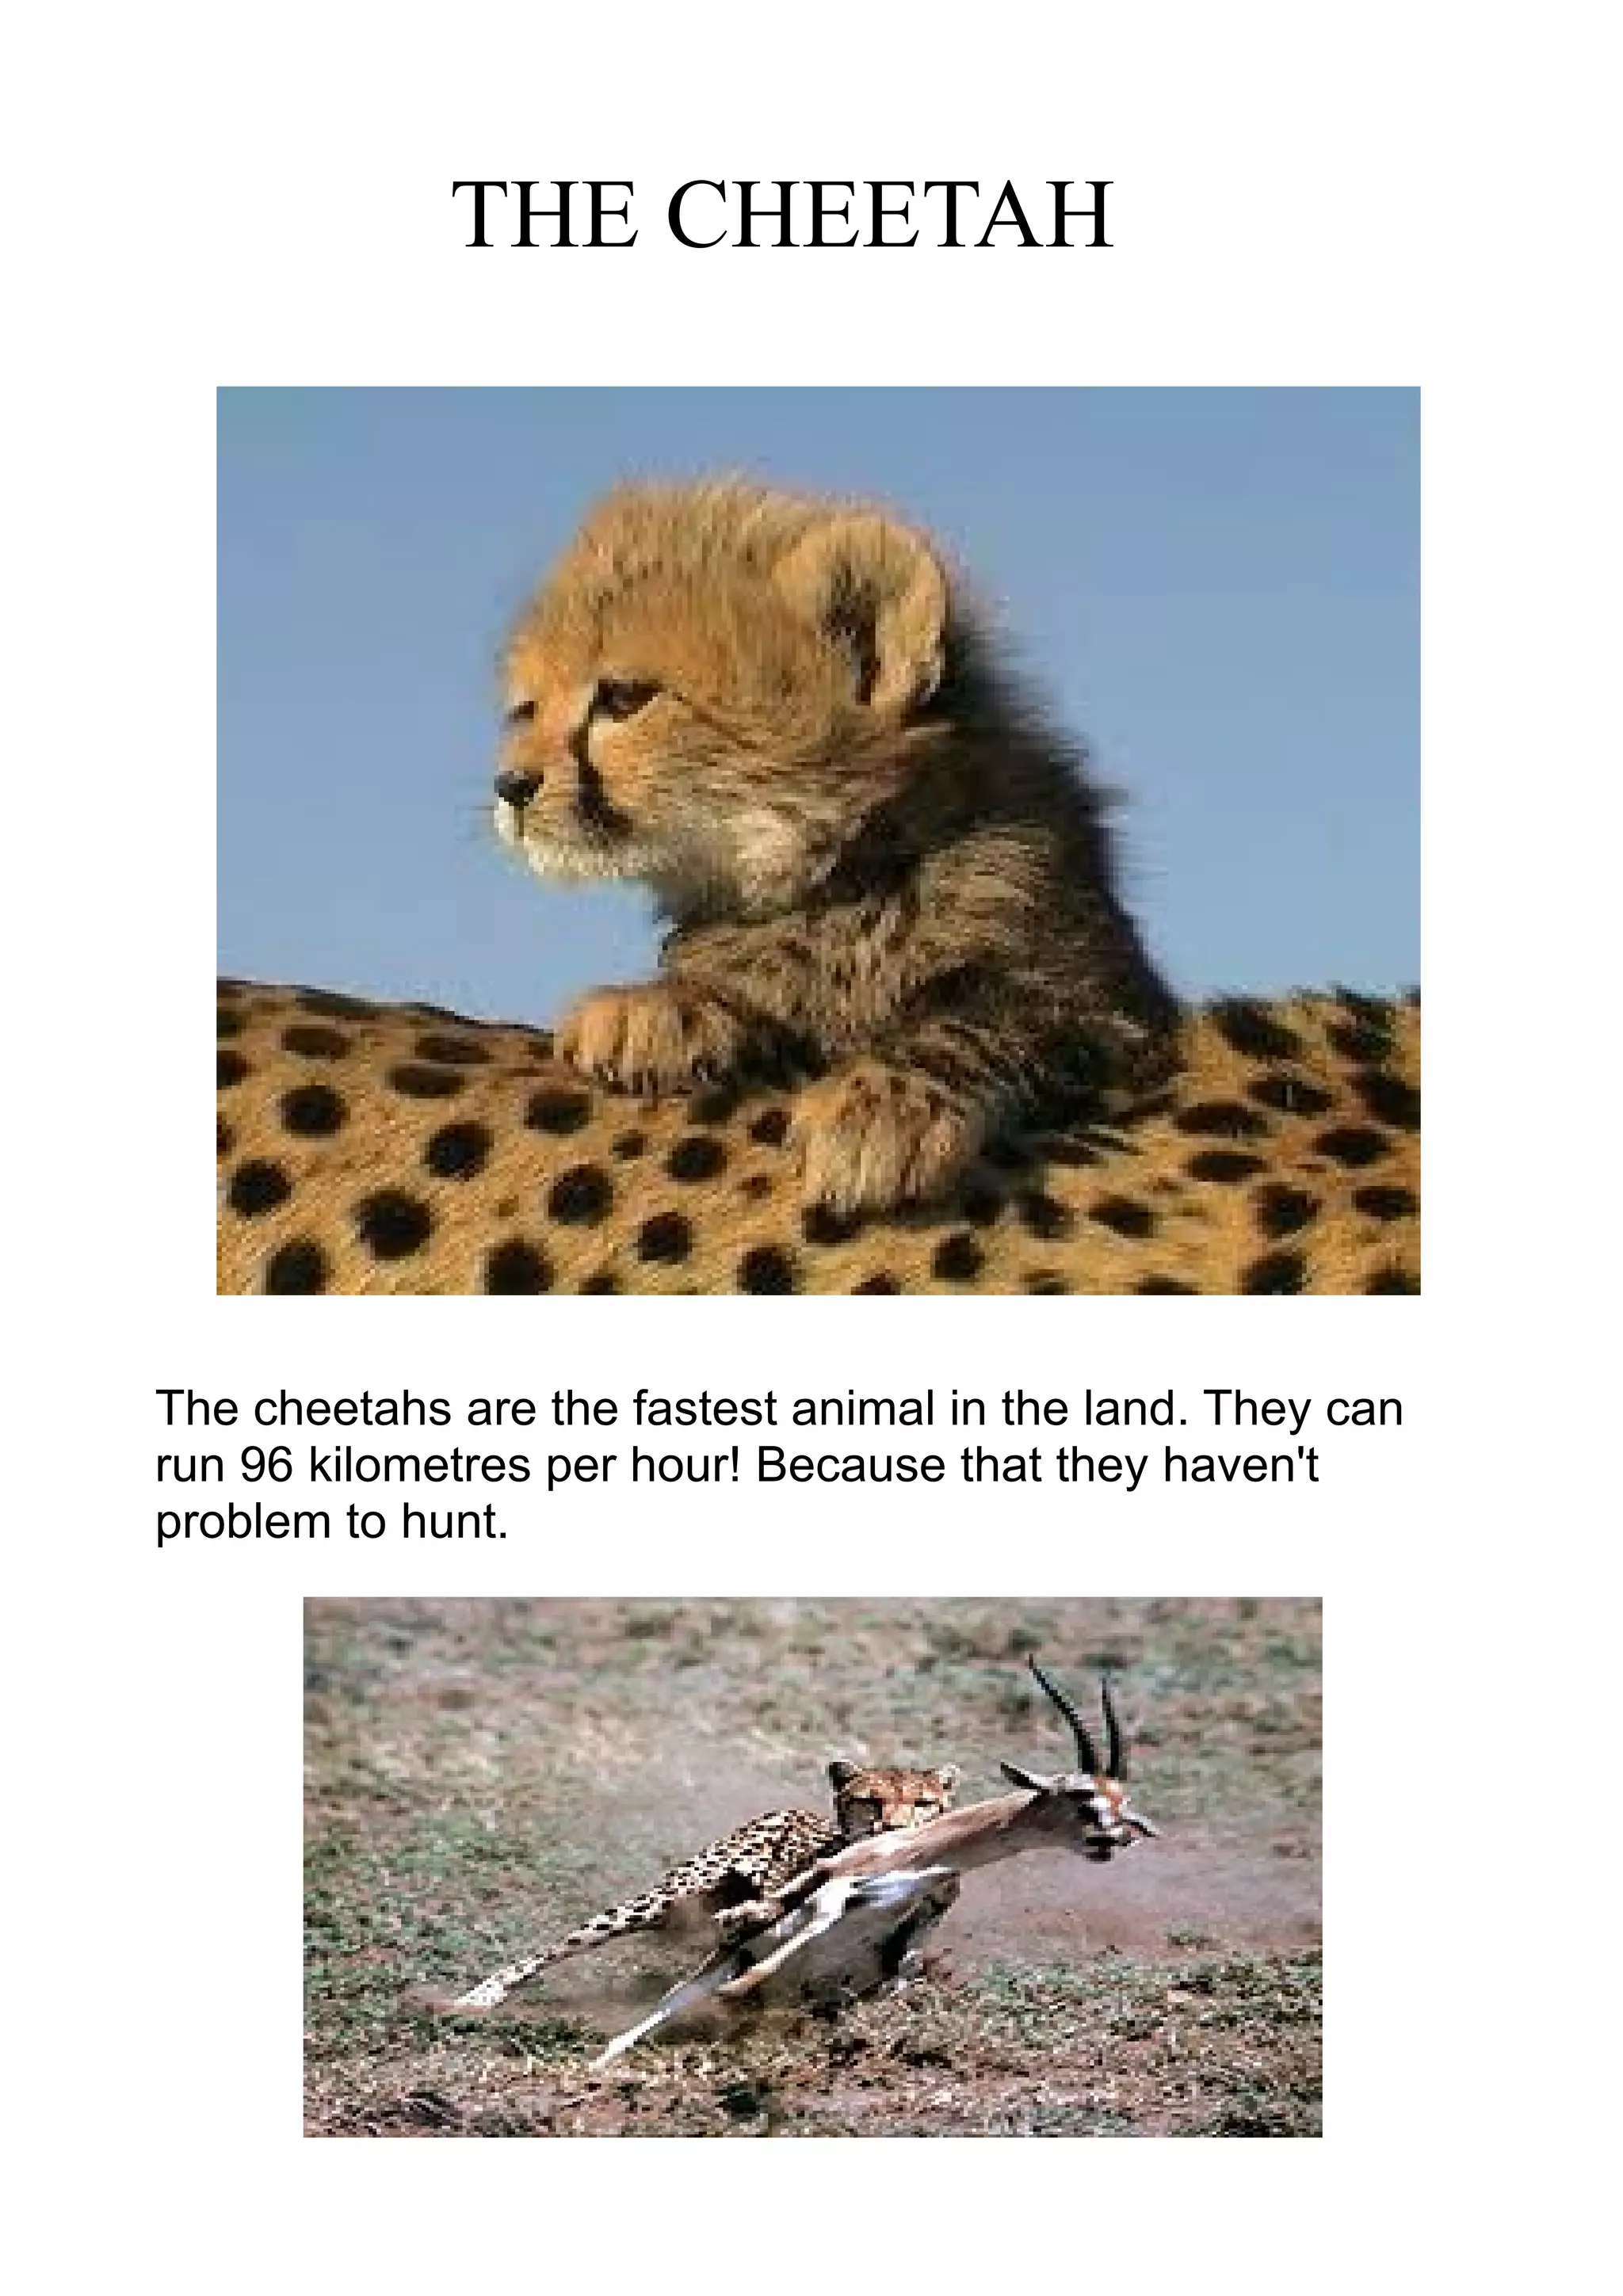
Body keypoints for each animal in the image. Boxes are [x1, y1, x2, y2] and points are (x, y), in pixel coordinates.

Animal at [448, 1760, 959, 2012]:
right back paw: (481, 1996)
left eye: (923, 1803)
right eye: (870, 1801)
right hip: (662, 1898)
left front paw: (899, 1989)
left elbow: (911, 1947)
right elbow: (769, 1915)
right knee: (561, 1946)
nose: (893, 1828)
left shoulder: (933, 1903)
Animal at [490, 478, 1182, 1217]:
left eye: (624, 698)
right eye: (526, 711)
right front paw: (662, 1004)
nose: (510, 786)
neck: (846, 881)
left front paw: (885, 1104)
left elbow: (986, 1020)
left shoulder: (1115, 1012)